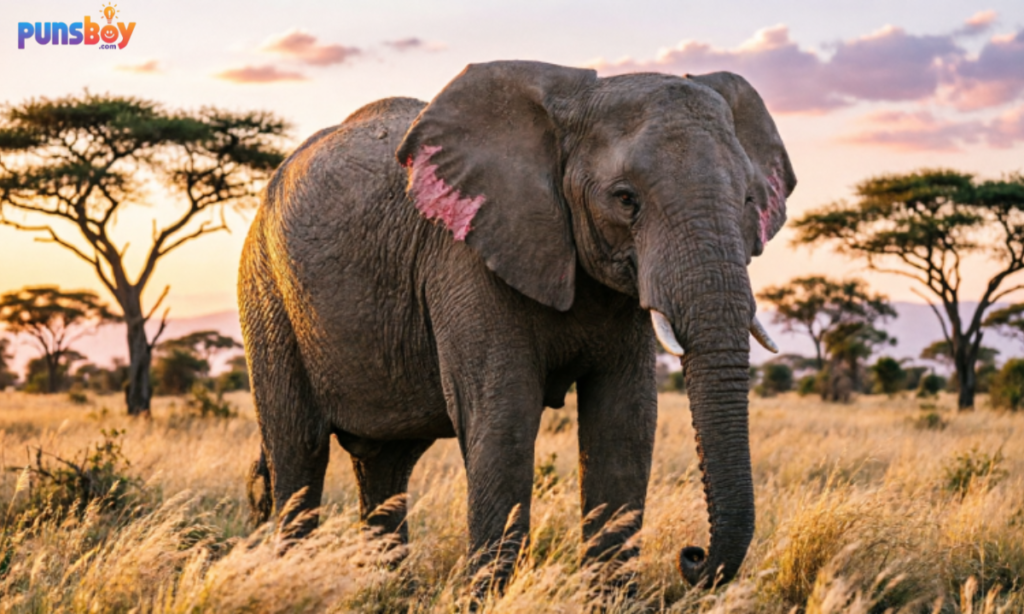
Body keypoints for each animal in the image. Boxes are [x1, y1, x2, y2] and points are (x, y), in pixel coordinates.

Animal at [238, 60, 795, 588]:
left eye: (749, 201)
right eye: (625, 199)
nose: (691, 556)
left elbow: (625, 421)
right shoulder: (464, 256)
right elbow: (503, 417)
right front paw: (485, 596)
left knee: (385, 462)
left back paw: (387, 589)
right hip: (266, 292)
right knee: (299, 451)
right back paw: (293, 578)